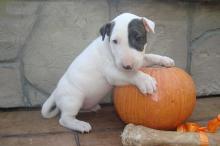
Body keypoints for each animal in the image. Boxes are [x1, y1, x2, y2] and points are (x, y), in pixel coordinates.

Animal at [42, 13, 174, 133]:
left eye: (138, 37)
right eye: (115, 41)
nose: (127, 66)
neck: (109, 48)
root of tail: (56, 91)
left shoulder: (139, 59)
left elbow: (149, 56)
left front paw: (165, 60)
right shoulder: (112, 73)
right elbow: (131, 74)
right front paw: (146, 81)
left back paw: (92, 108)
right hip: (73, 99)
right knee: (65, 118)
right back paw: (80, 125)